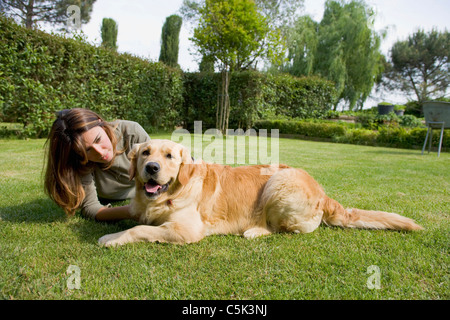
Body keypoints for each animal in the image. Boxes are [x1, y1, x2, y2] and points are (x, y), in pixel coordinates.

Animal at [97, 139, 422, 246]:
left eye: (169, 157)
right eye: (145, 153)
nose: (151, 168)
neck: (168, 195)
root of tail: (322, 191)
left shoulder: (186, 230)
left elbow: (139, 228)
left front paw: (113, 238)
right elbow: (131, 217)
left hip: (278, 183)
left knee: (282, 229)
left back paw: (254, 231)